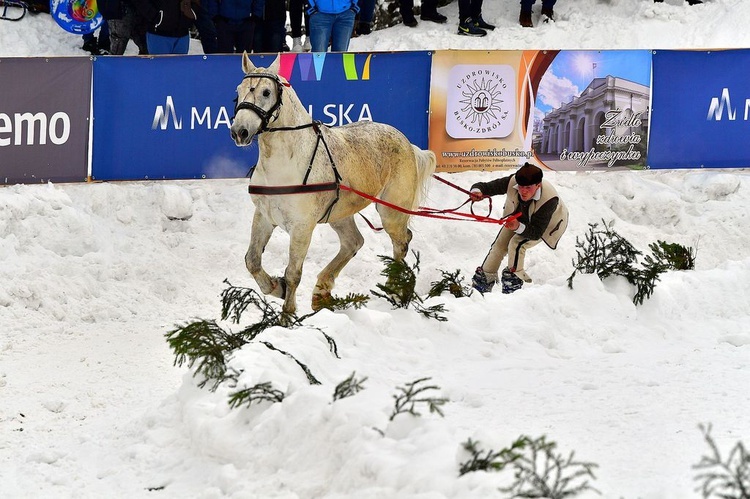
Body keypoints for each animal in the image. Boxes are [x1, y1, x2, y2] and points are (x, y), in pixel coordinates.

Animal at [232, 54, 438, 318]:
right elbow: (253, 261)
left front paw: (287, 315)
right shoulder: (264, 216)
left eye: (266, 92)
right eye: (238, 92)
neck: (284, 163)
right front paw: (277, 287)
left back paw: (394, 289)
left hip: (391, 212)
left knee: (401, 242)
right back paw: (322, 291)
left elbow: (293, 273)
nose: (239, 131)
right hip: (339, 214)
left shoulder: (302, 227)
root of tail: (407, 143)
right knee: (354, 242)